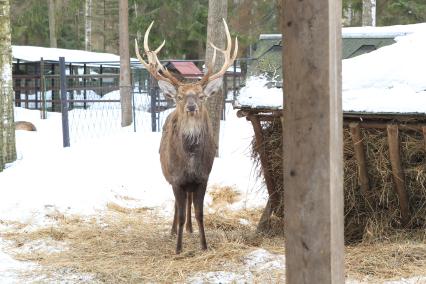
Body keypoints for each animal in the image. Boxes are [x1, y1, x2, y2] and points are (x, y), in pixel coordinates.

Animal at [135, 18, 238, 254]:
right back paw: (174, 230)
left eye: (200, 96)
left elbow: (200, 214)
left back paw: (190, 230)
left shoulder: (203, 178)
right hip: (169, 175)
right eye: (180, 96)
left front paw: (204, 245)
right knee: (177, 206)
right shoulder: (176, 179)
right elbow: (180, 213)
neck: (190, 160)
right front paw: (178, 248)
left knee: (189, 203)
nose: (191, 106)